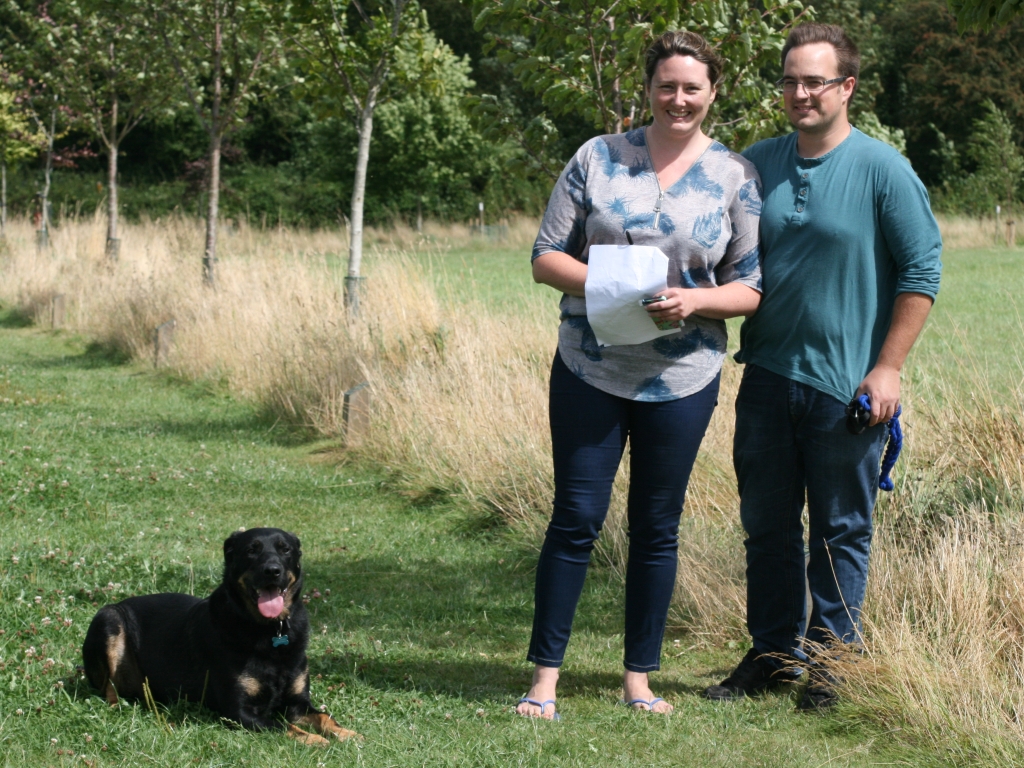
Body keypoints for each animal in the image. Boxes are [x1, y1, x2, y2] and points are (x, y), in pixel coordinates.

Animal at [81, 528, 358, 745]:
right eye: (251, 550)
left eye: (285, 550)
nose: (273, 570)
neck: (269, 631)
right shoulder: (239, 712)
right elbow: (284, 726)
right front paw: (314, 739)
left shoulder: (298, 704)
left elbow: (324, 717)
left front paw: (347, 733)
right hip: (108, 619)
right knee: (108, 690)